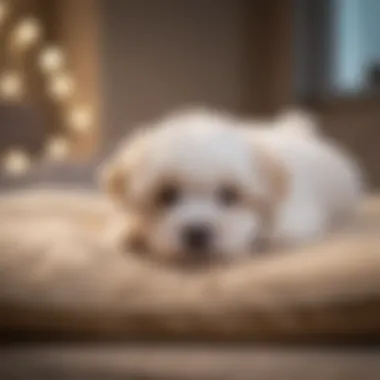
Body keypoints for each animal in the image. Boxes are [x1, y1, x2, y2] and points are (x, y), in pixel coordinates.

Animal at [100, 108, 362, 262]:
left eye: (229, 195)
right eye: (166, 195)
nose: (197, 233)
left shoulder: (295, 222)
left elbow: (273, 236)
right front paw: (129, 232)